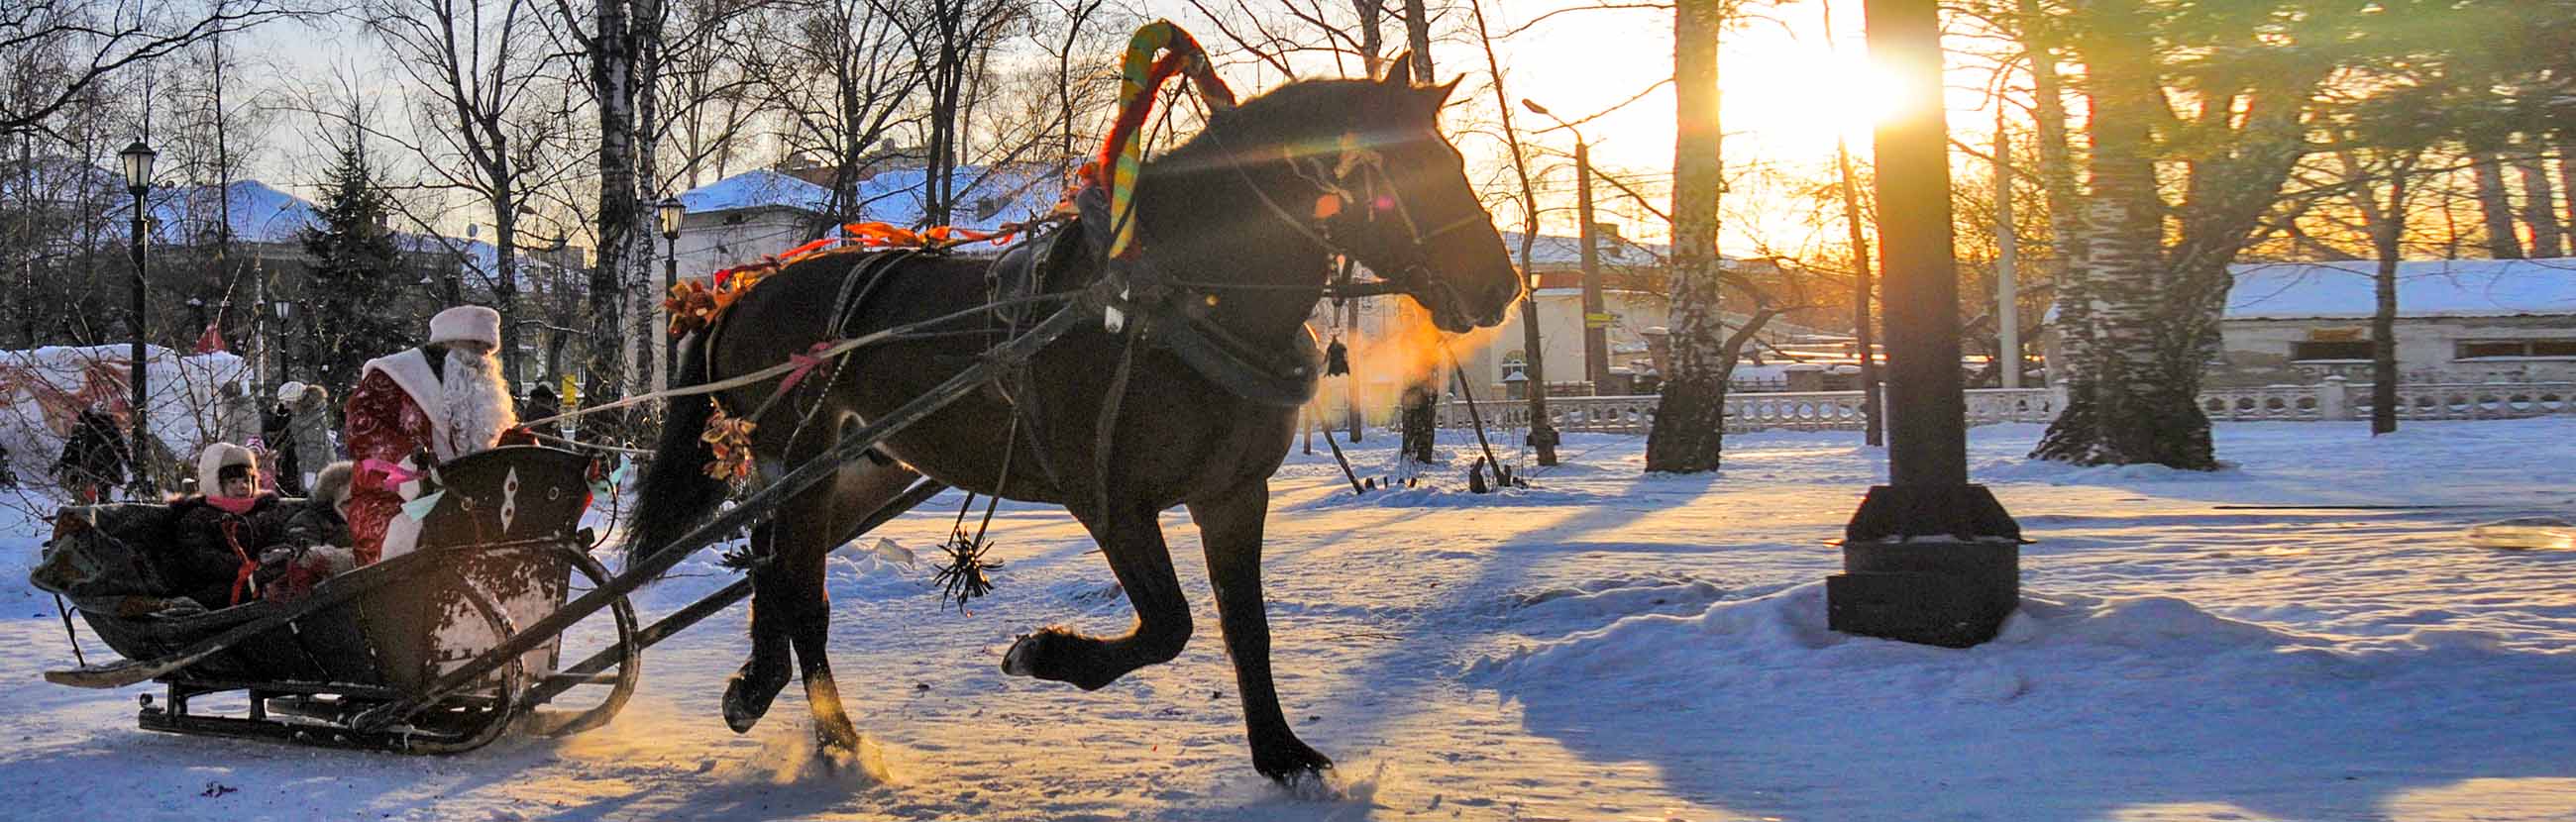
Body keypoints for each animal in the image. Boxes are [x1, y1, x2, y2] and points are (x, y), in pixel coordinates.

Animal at [631, 67, 1514, 782]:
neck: (1174, 300)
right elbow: (1169, 625)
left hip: (854, 470)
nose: (1500, 285)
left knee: (772, 567)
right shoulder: (1110, 500)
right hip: (798, 457)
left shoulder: (1233, 495)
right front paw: (1042, 653)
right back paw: (837, 738)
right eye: (1400, 172)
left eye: (1456, 163)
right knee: (799, 590)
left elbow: (1245, 628)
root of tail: (741, 292)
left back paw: (760, 691)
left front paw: (1280, 754)